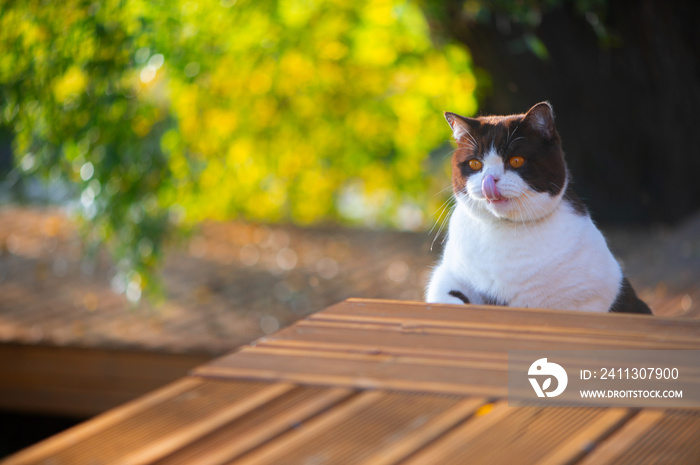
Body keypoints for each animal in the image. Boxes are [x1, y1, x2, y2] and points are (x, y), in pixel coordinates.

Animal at [426, 99, 652, 314]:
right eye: (474, 164)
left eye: (516, 161)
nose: (489, 180)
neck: (504, 229)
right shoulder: (449, 272)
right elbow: (444, 292)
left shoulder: (594, 298)